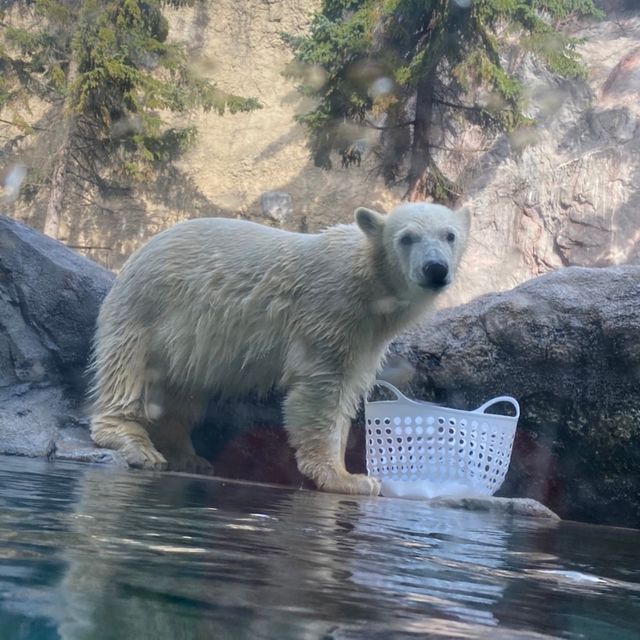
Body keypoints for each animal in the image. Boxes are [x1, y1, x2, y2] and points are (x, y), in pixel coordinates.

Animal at [89, 204, 470, 496]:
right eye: (406, 237)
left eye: (450, 235)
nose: (435, 268)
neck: (370, 282)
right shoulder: (331, 311)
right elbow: (321, 392)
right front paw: (349, 479)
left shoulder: (366, 336)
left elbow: (347, 389)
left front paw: (347, 472)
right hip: (149, 310)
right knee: (129, 372)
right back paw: (135, 443)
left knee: (184, 390)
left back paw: (187, 454)